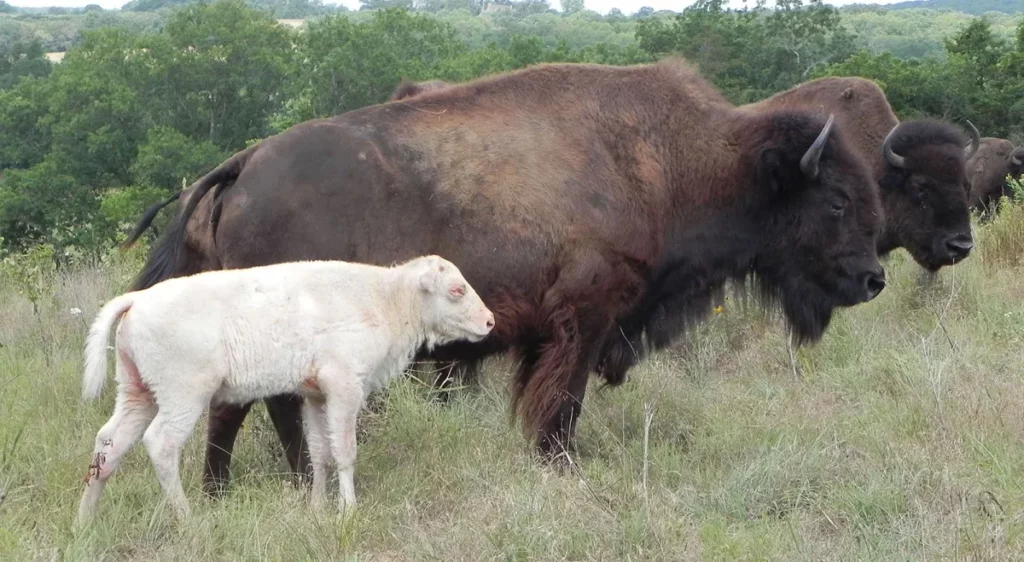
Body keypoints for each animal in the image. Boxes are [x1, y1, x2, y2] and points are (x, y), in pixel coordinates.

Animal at [77, 253, 493, 522]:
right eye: (457, 290)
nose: (489, 321)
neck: (384, 296)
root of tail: (137, 300)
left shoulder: (315, 394)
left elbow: (320, 453)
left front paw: (317, 508)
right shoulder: (344, 387)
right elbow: (345, 450)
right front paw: (349, 510)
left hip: (137, 394)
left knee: (109, 443)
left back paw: (85, 520)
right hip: (183, 396)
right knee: (160, 443)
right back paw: (187, 518)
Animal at [123, 59, 884, 493]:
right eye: (836, 200)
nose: (873, 278)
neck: (672, 159)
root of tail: (242, 164)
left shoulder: (549, 330)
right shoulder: (586, 316)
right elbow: (562, 400)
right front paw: (562, 466)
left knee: (237, 405)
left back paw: (232, 491)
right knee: (261, 404)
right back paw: (291, 483)